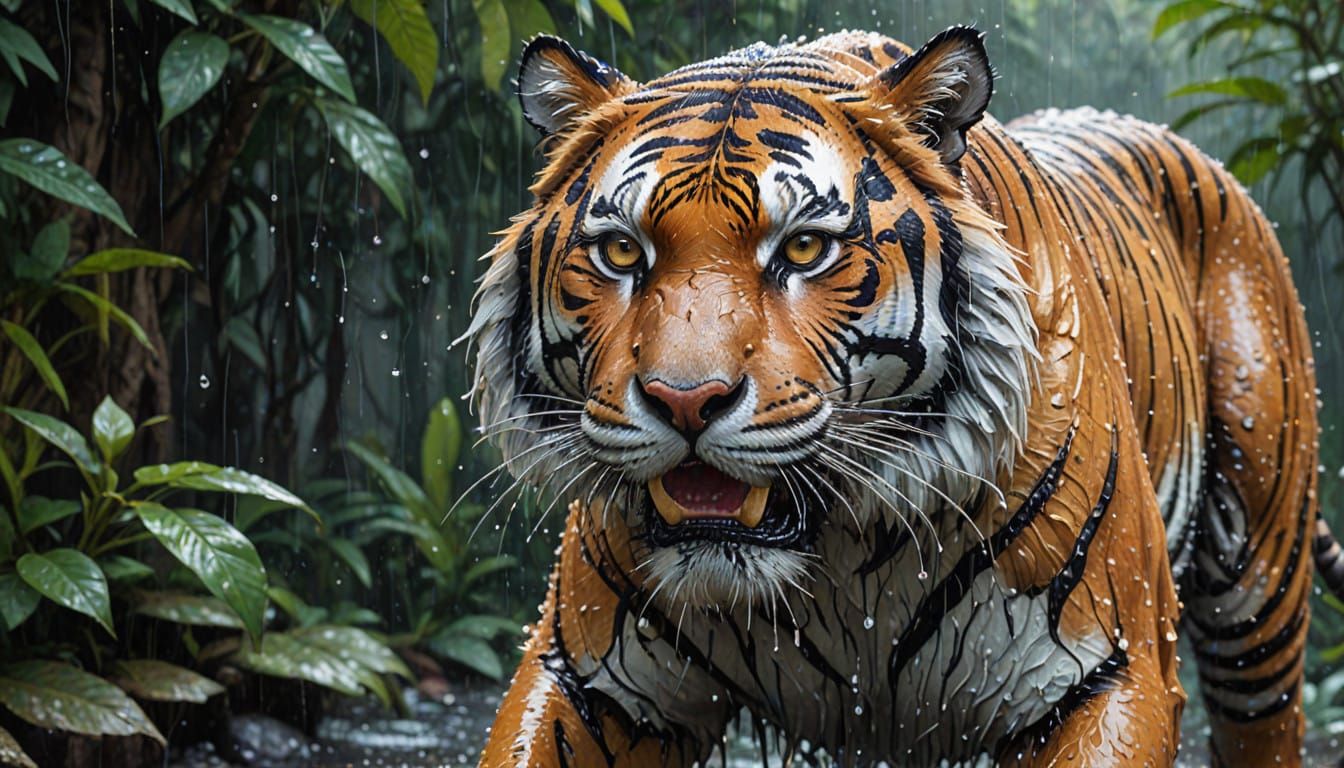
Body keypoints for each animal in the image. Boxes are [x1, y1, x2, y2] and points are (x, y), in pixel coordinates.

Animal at [463, 25, 1343, 767]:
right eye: (620, 252)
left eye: (804, 249)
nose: (685, 400)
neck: (839, 557)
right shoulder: (584, 675)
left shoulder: (1111, 677)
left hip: (1259, 591)